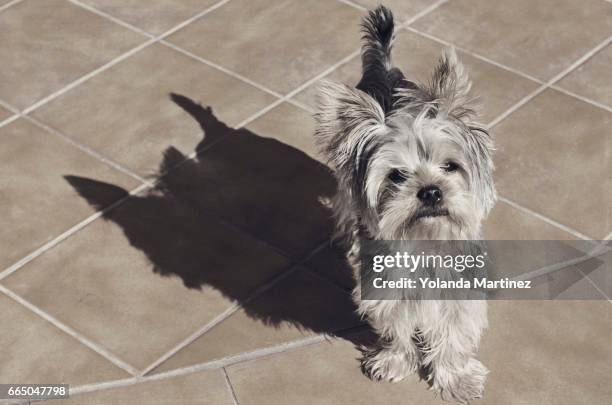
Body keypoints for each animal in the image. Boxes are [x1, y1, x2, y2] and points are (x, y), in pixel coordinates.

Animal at [314, 4, 494, 402]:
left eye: (450, 166)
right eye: (396, 175)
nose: (430, 191)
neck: (424, 240)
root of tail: (385, 70)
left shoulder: (458, 289)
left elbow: (453, 333)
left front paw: (455, 378)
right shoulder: (387, 287)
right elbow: (396, 325)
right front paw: (396, 360)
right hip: (346, 186)